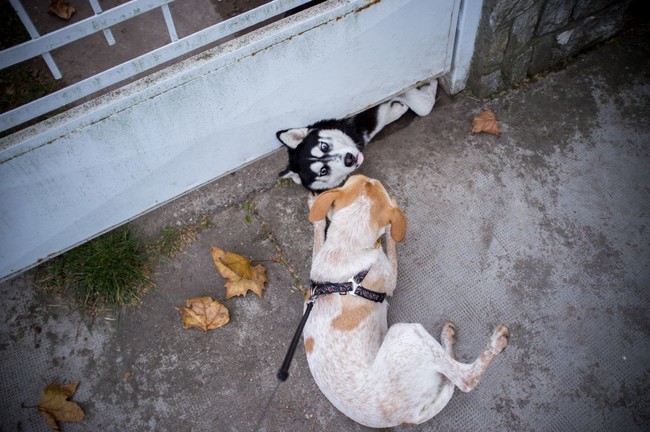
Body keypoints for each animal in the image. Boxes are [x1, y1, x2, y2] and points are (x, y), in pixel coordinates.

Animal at [302, 176, 508, 428]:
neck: (347, 244)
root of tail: (408, 416)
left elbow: (318, 238)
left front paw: (315, 210)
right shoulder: (389, 275)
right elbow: (391, 244)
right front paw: (391, 228)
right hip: (406, 333)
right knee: (464, 379)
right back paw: (492, 342)